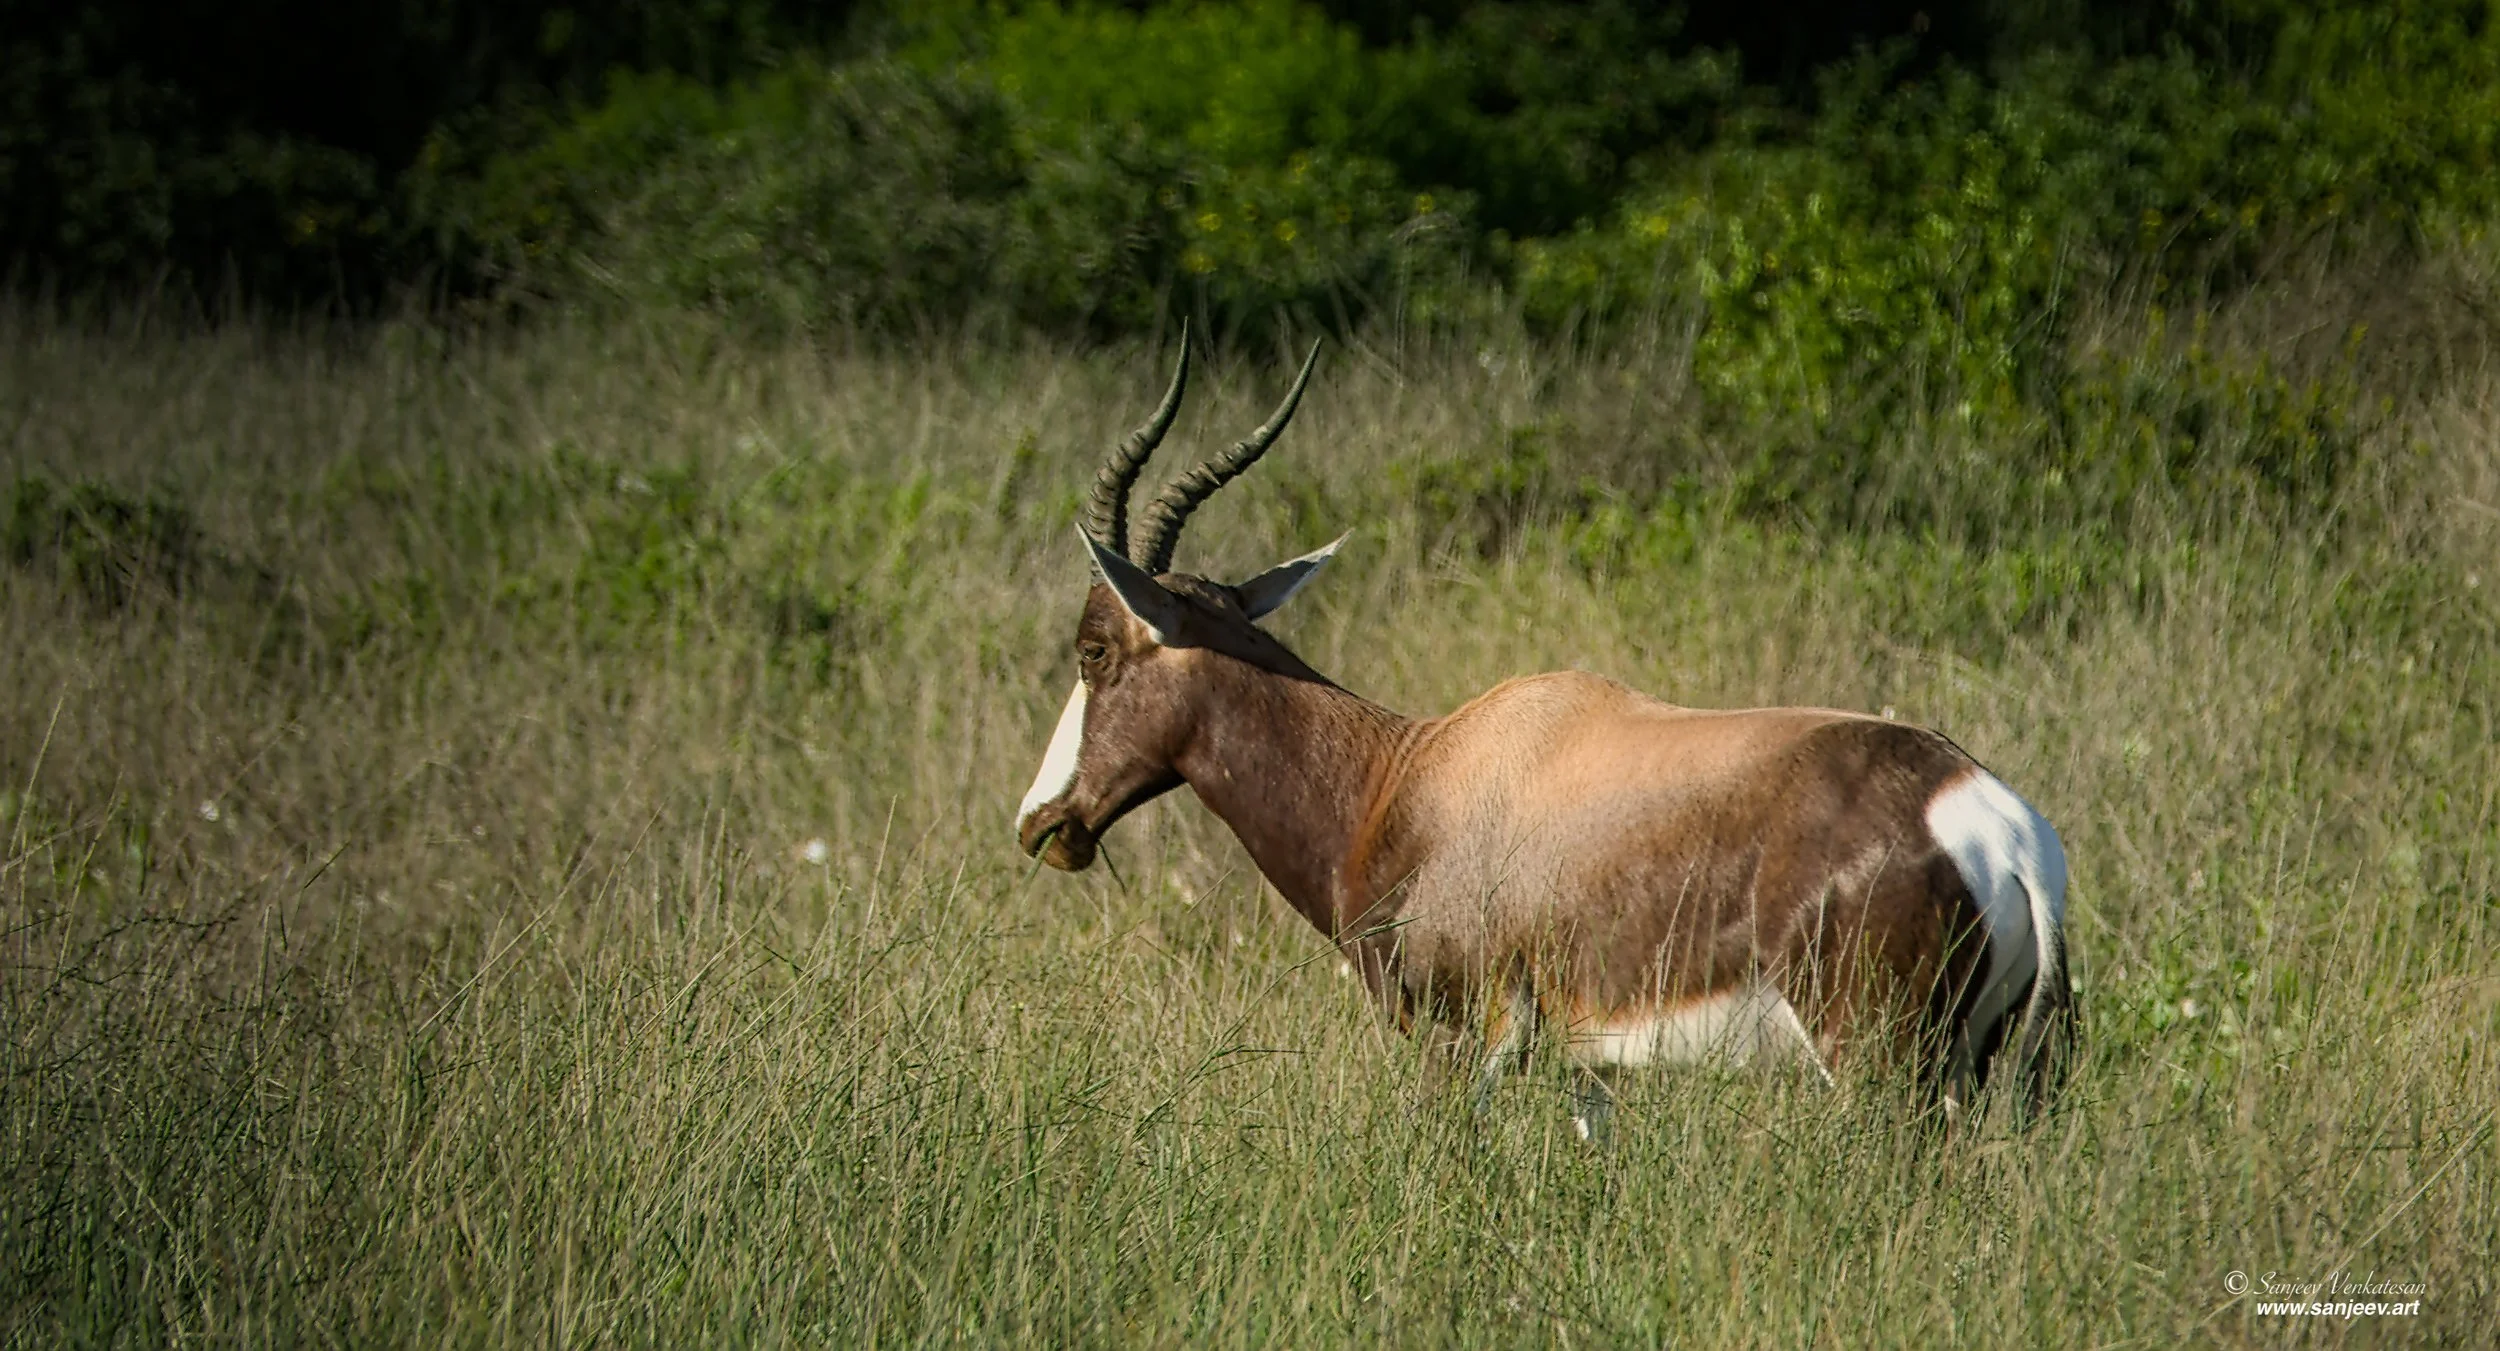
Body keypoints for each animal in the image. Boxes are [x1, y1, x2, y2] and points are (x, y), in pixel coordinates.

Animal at [1015, 335, 2073, 1131]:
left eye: (1094, 648)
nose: (1041, 821)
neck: (1412, 778)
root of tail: (2001, 830)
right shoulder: (1582, 1069)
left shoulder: (1464, 1041)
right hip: (1977, 1068)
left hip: (1876, 1066)